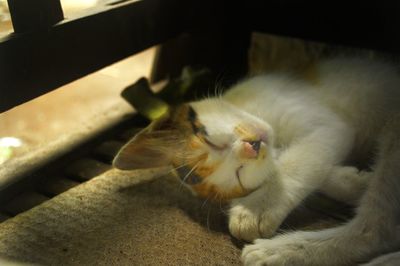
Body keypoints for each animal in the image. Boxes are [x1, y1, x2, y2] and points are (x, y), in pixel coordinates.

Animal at [111, 58, 400, 266]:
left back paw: (279, 251)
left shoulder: (325, 124)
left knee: (378, 229)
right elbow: (308, 164)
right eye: (240, 174)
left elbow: (298, 160)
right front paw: (354, 182)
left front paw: (257, 208)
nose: (252, 148)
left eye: (210, 141)